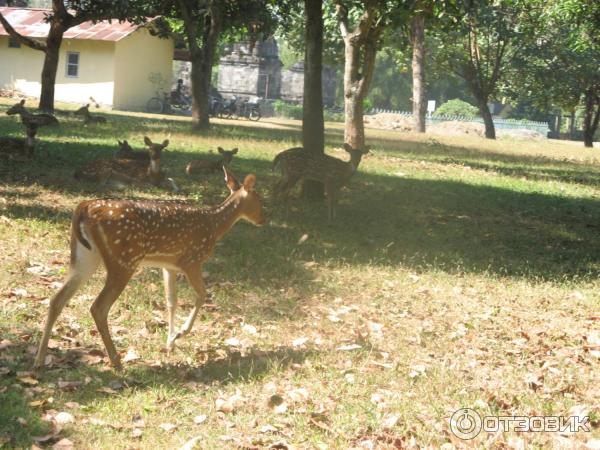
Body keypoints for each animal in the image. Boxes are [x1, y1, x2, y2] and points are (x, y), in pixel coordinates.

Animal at [34, 168, 264, 370]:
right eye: (259, 198)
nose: (264, 219)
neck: (215, 226)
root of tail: (84, 207)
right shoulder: (192, 260)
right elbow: (202, 295)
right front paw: (180, 333)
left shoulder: (168, 265)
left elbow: (171, 301)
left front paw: (170, 342)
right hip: (123, 260)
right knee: (98, 307)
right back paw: (116, 360)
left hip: (84, 256)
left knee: (57, 299)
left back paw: (39, 359)